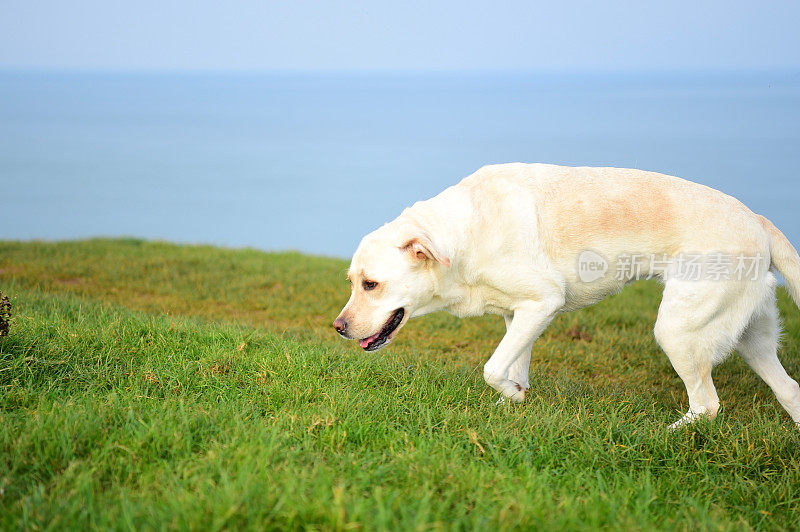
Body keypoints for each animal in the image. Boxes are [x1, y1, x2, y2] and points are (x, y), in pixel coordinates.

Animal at [332, 162, 800, 428]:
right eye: (351, 281)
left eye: (371, 284)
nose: (338, 327)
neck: (464, 233)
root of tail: (757, 219)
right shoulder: (518, 314)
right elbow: (512, 366)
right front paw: (515, 399)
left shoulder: (543, 303)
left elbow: (490, 367)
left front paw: (510, 396)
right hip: (751, 339)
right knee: (789, 390)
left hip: (677, 330)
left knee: (706, 405)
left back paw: (664, 434)